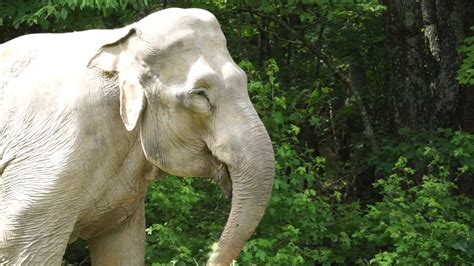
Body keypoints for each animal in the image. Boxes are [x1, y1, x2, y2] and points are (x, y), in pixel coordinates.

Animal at [0, 7, 274, 264]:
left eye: (244, 80)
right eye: (200, 94)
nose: (210, 256)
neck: (120, 40)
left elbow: (121, 249)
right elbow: (20, 249)